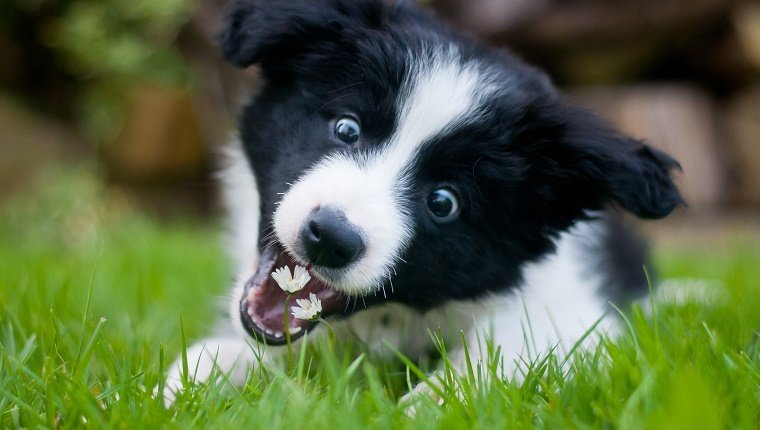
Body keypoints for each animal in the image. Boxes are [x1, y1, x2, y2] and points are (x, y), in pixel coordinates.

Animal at [163, 0, 680, 404]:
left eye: (444, 202)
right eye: (346, 128)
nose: (330, 237)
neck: (397, 314)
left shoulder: (575, 318)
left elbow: (504, 358)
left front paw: (423, 407)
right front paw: (191, 381)